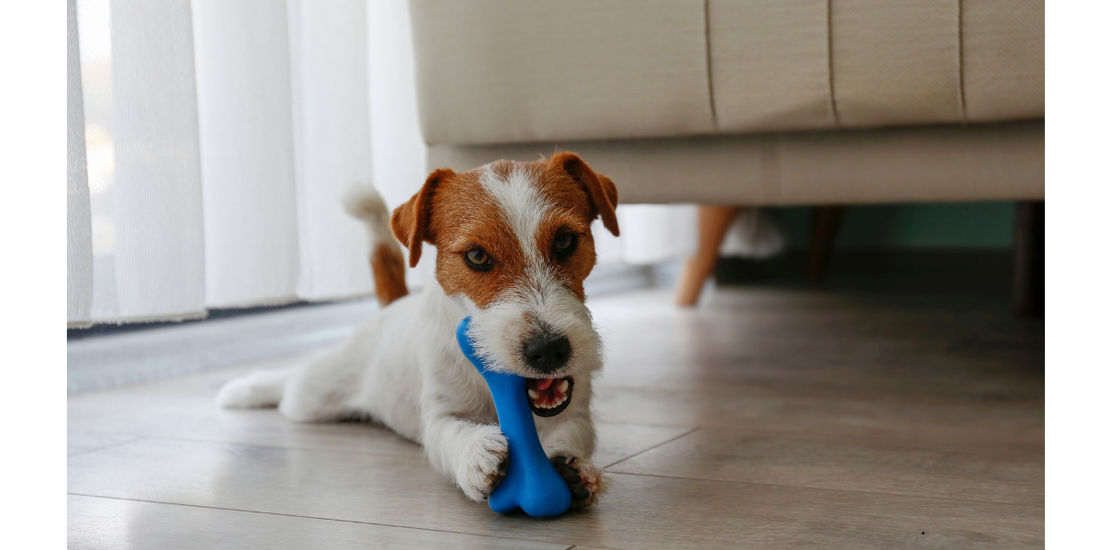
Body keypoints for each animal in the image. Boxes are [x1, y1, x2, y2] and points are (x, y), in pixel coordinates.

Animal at [216, 151, 620, 510]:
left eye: (565, 240)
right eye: (476, 256)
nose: (549, 350)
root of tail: (390, 308)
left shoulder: (575, 412)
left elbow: (572, 432)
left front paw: (571, 466)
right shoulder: (439, 415)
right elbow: (450, 434)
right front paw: (476, 452)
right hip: (313, 396)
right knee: (289, 384)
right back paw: (243, 390)